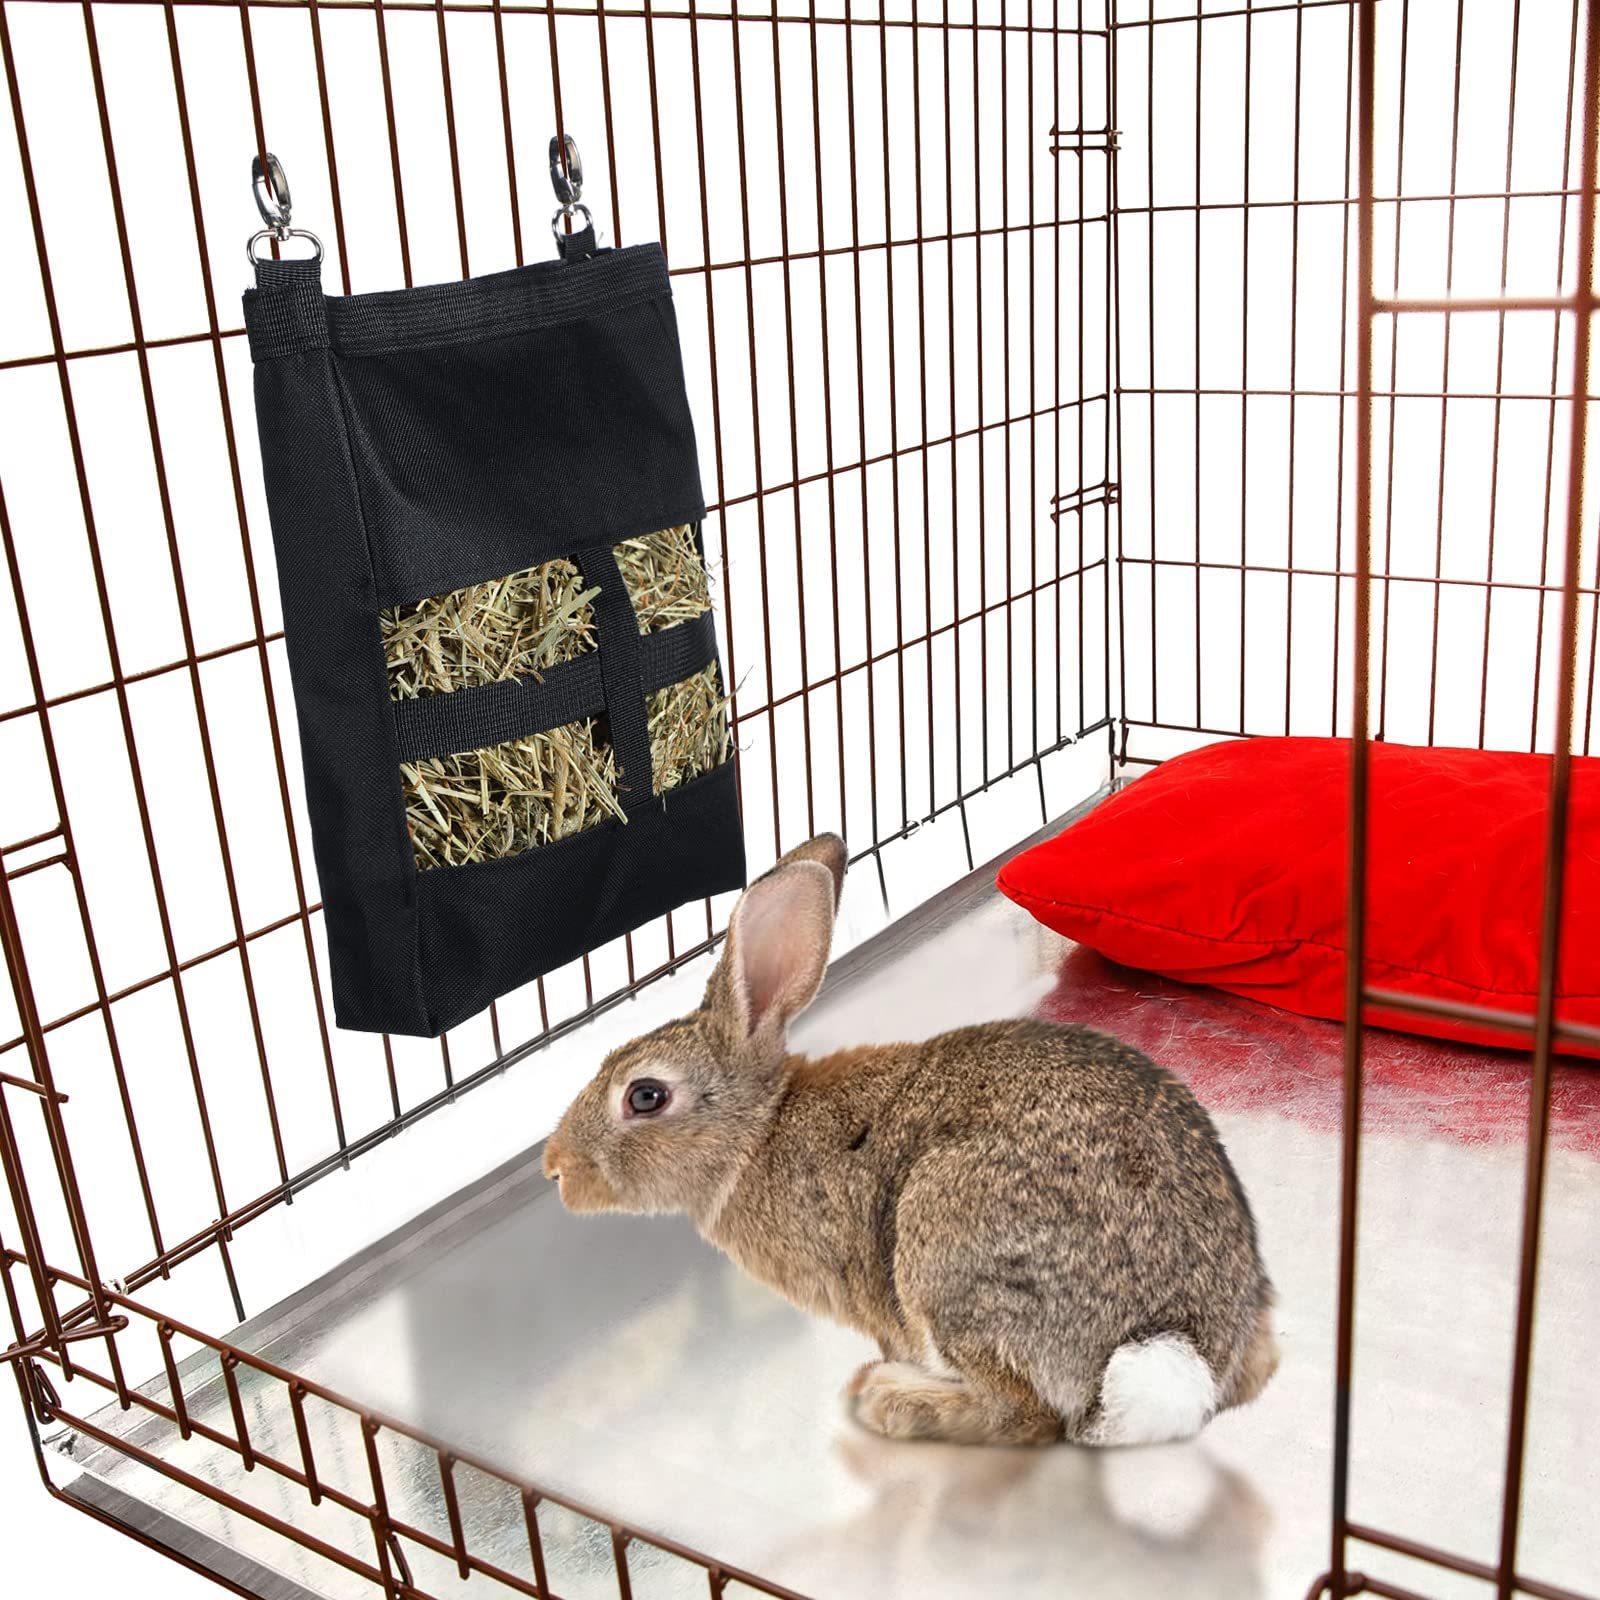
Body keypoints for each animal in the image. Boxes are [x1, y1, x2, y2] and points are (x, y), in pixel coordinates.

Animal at [543, 834, 1279, 1447]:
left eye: (645, 1096)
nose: (555, 1168)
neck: (759, 1132)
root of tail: (1180, 1345)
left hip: (947, 1243)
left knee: (1026, 1415)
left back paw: (891, 1399)